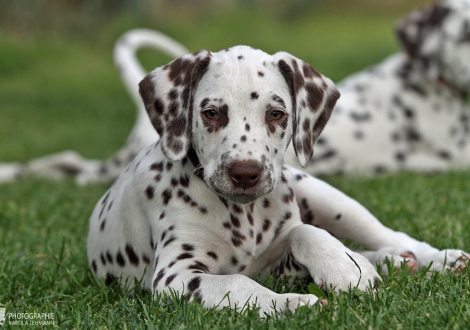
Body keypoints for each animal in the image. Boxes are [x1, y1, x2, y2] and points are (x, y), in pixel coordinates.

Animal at [87, 45, 466, 316]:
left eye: (276, 114)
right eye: (211, 113)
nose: (245, 172)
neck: (242, 216)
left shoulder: (282, 258)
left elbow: (304, 231)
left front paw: (343, 268)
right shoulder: (176, 276)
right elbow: (238, 282)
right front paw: (292, 304)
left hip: (331, 200)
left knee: (390, 236)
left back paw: (433, 259)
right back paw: (392, 261)